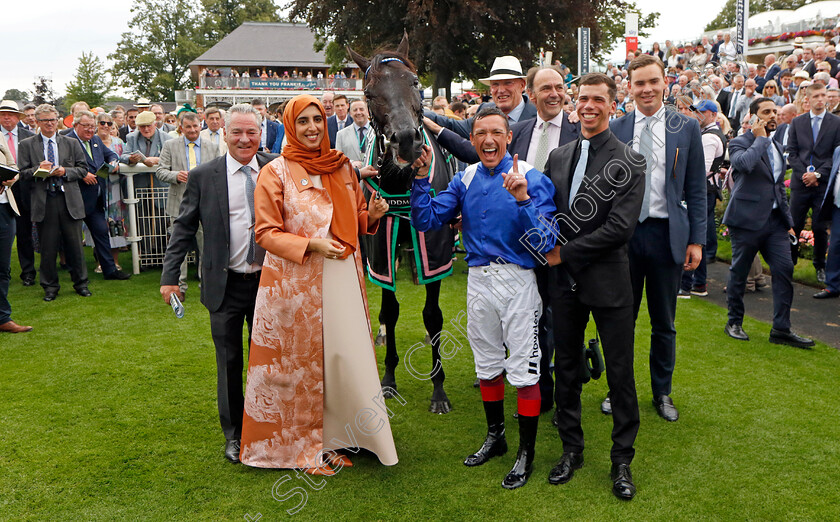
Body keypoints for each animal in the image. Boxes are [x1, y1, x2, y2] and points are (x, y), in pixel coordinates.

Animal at [348, 34, 456, 412]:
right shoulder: (381, 247)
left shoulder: (435, 249)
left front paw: (439, 388)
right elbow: (391, 309)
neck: (402, 182)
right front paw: (389, 379)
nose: (407, 140)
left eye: (415, 83)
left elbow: (433, 314)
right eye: (368, 93)